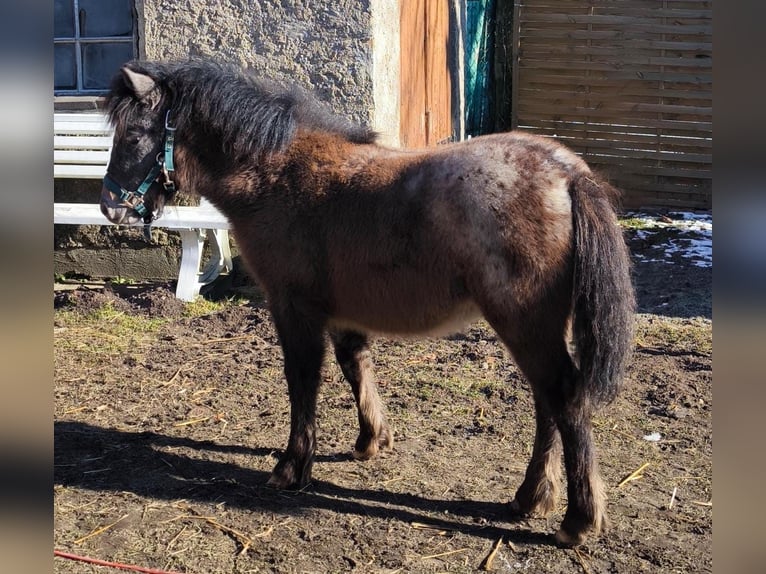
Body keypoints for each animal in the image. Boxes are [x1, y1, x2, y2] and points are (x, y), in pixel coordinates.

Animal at [99, 59, 636, 548]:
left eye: (135, 135)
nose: (111, 207)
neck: (275, 174)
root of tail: (567, 174)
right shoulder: (341, 313)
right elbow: (355, 366)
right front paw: (370, 441)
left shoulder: (293, 308)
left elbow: (303, 382)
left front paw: (292, 467)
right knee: (547, 401)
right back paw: (530, 498)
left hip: (524, 322)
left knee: (563, 397)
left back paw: (577, 519)